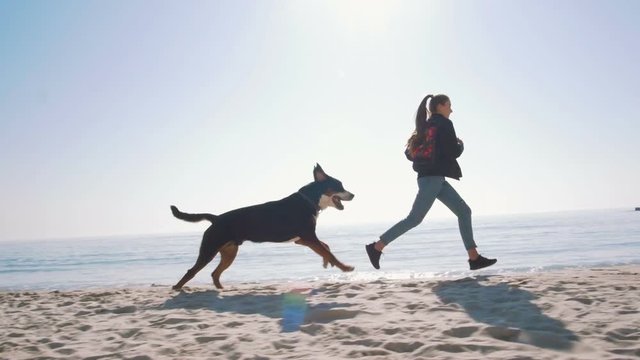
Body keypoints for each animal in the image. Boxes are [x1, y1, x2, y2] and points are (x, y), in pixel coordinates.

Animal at [170, 163, 356, 290]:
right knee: (191, 271)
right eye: (339, 186)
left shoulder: (302, 239)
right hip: (209, 249)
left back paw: (222, 290)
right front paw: (345, 267)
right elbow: (329, 251)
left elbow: (326, 247)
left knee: (215, 273)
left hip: (229, 252)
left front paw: (326, 262)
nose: (353, 195)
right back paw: (177, 289)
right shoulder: (308, 236)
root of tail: (216, 218)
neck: (309, 200)